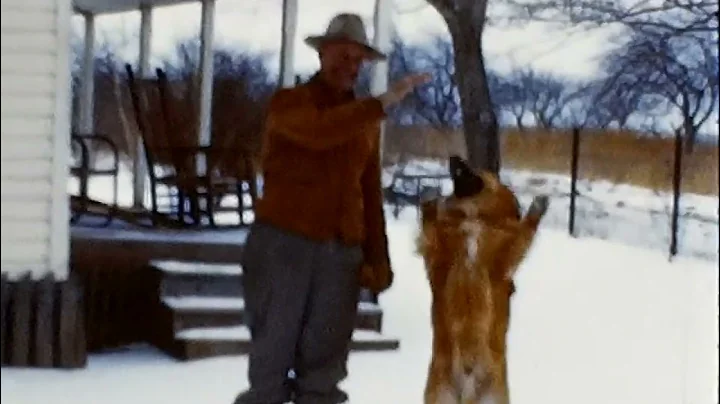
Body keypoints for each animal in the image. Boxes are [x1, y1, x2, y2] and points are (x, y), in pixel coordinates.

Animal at [416, 155, 552, 404]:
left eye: (478, 170)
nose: (453, 157)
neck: (474, 219)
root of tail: (468, 390)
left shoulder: (504, 260)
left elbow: (524, 233)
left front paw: (537, 206)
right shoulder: (437, 260)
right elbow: (430, 226)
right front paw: (429, 197)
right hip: (441, 396)